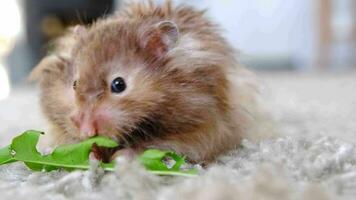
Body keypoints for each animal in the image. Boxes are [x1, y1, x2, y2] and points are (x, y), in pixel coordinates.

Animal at [31, 0, 270, 163]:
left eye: (119, 85)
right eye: (74, 84)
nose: (87, 129)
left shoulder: (204, 127)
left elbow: (156, 146)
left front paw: (120, 156)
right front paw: (92, 154)